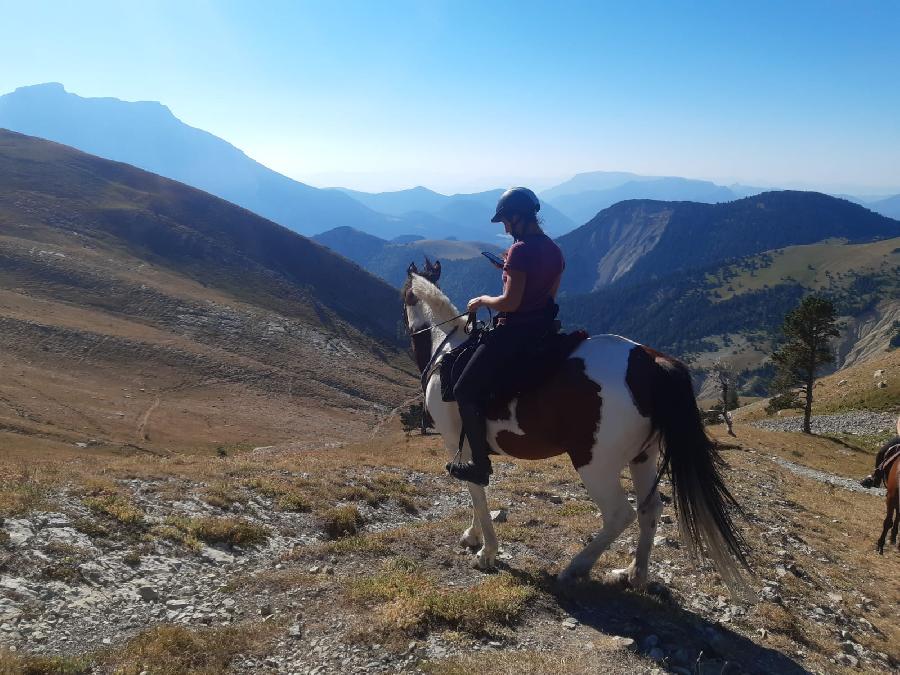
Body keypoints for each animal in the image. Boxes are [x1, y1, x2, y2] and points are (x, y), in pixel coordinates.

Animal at [404, 266, 748, 596]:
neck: (448, 348)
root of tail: (650, 362)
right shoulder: (466, 449)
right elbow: (475, 492)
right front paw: (472, 536)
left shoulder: (457, 443)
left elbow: (476, 490)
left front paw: (487, 551)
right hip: (643, 457)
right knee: (650, 509)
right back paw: (633, 574)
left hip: (595, 464)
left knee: (620, 514)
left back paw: (576, 568)